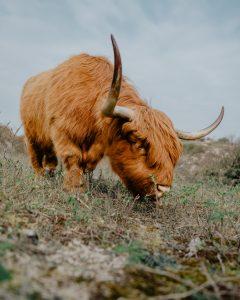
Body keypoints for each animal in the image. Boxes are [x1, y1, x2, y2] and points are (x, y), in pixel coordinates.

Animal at [19, 35, 224, 199]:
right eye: (139, 143)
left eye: (175, 151)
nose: (163, 189)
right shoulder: (63, 132)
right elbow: (73, 158)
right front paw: (74, 189)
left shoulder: (98, 146)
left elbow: (87, 165)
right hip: (31, 134)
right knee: (35, 154)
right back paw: (41, 178)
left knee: (50, 157)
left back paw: (50, 173)